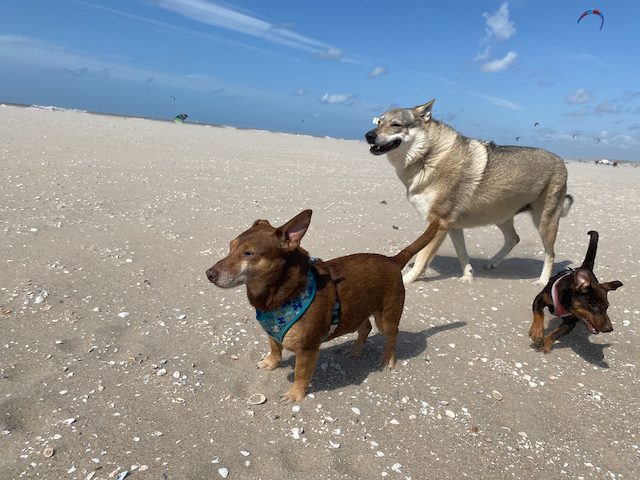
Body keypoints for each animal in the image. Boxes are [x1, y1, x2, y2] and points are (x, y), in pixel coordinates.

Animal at [205, 210, 440, 402]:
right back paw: (356, 350)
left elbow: (300, 374)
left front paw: (295, 395)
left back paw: (387, 359)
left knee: (392, 335)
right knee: (365, 327)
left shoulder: (307, 349)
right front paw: (271, 362)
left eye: (248, 254)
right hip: (356, 310)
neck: (278, 295)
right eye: (230, 247)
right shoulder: (272, 333)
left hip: (387, 317)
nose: (209, 274)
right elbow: (275, 347)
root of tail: (393, 260)